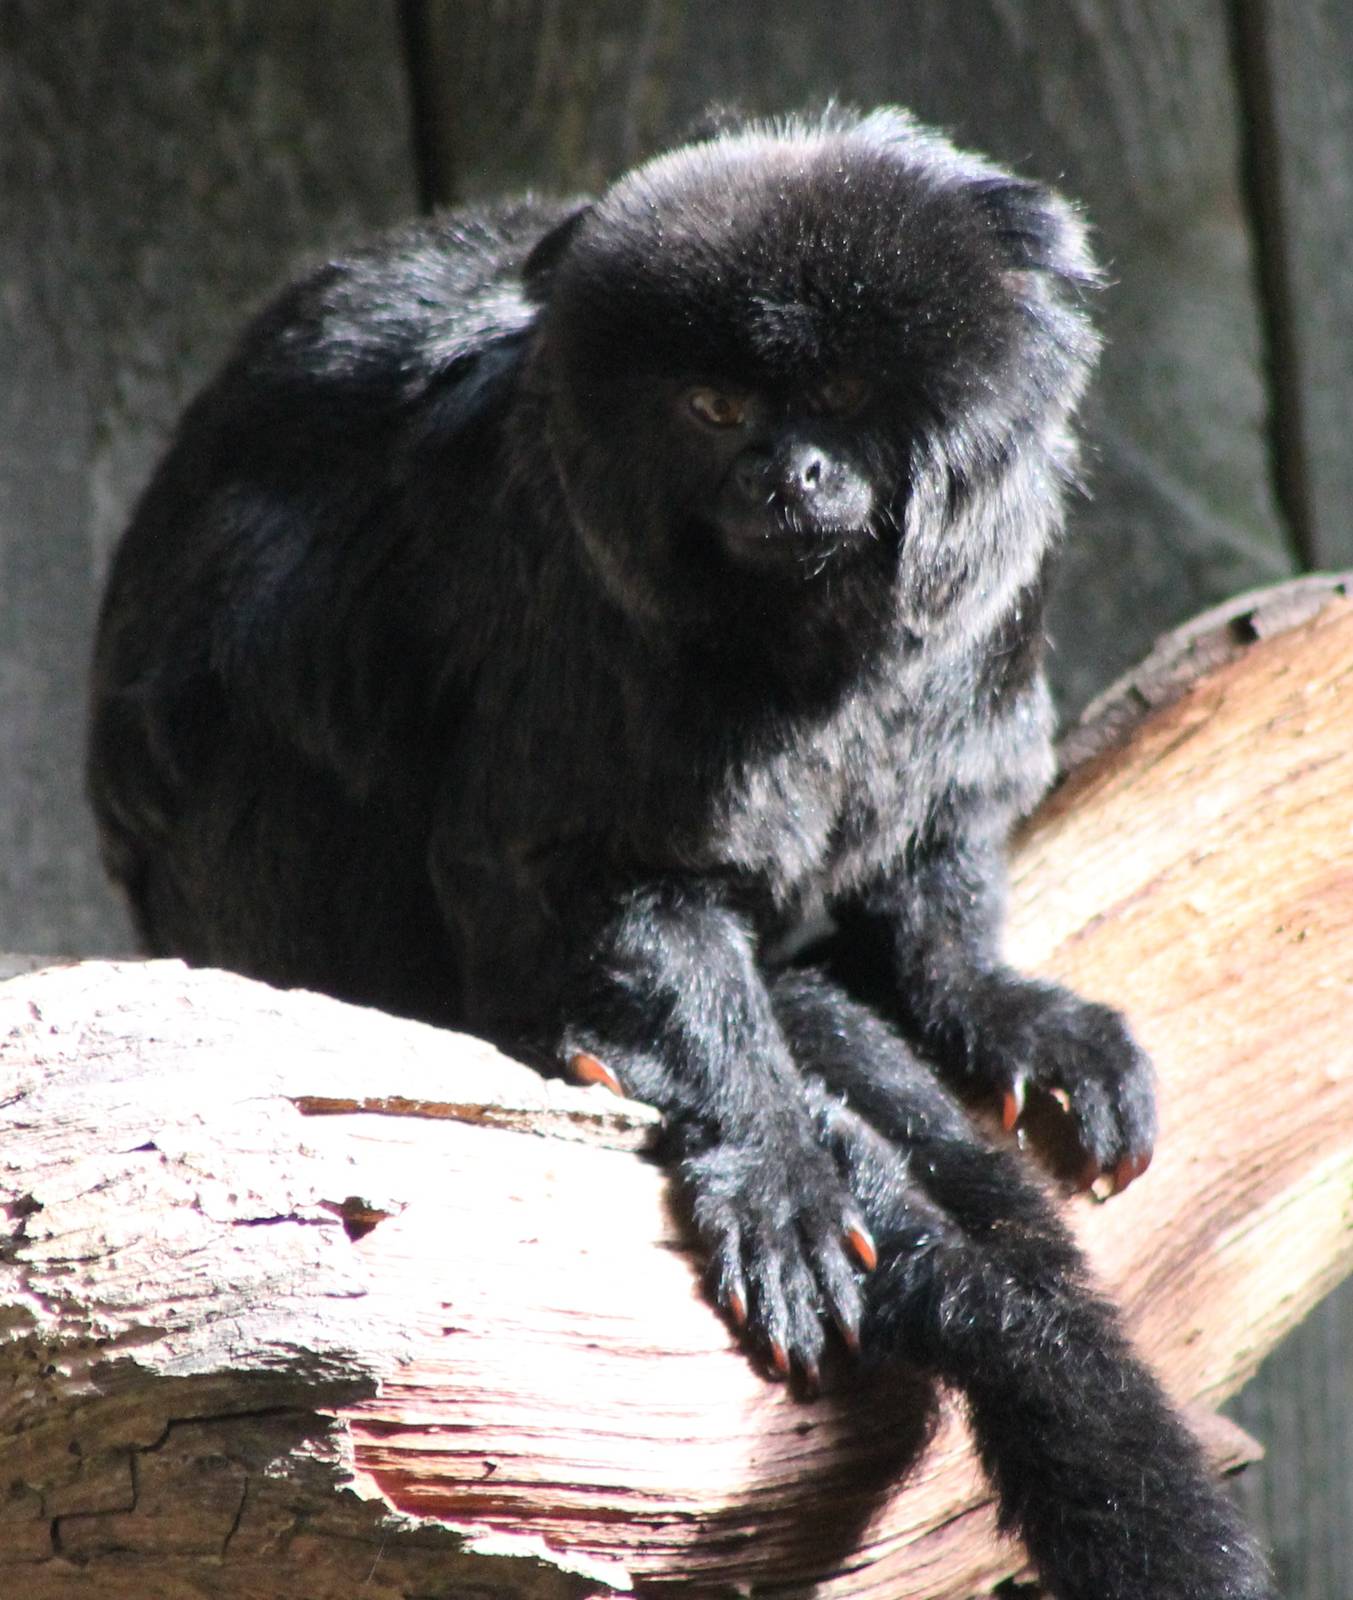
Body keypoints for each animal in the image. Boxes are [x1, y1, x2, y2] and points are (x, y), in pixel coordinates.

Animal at [88, 108, 1274, 1597]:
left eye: (841, 395)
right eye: (714, 412)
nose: (788, 474)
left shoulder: (987, 608)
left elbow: (939, 845)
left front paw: (997, 1004)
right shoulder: (562, 590)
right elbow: (592, 882)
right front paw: (772, 1161)